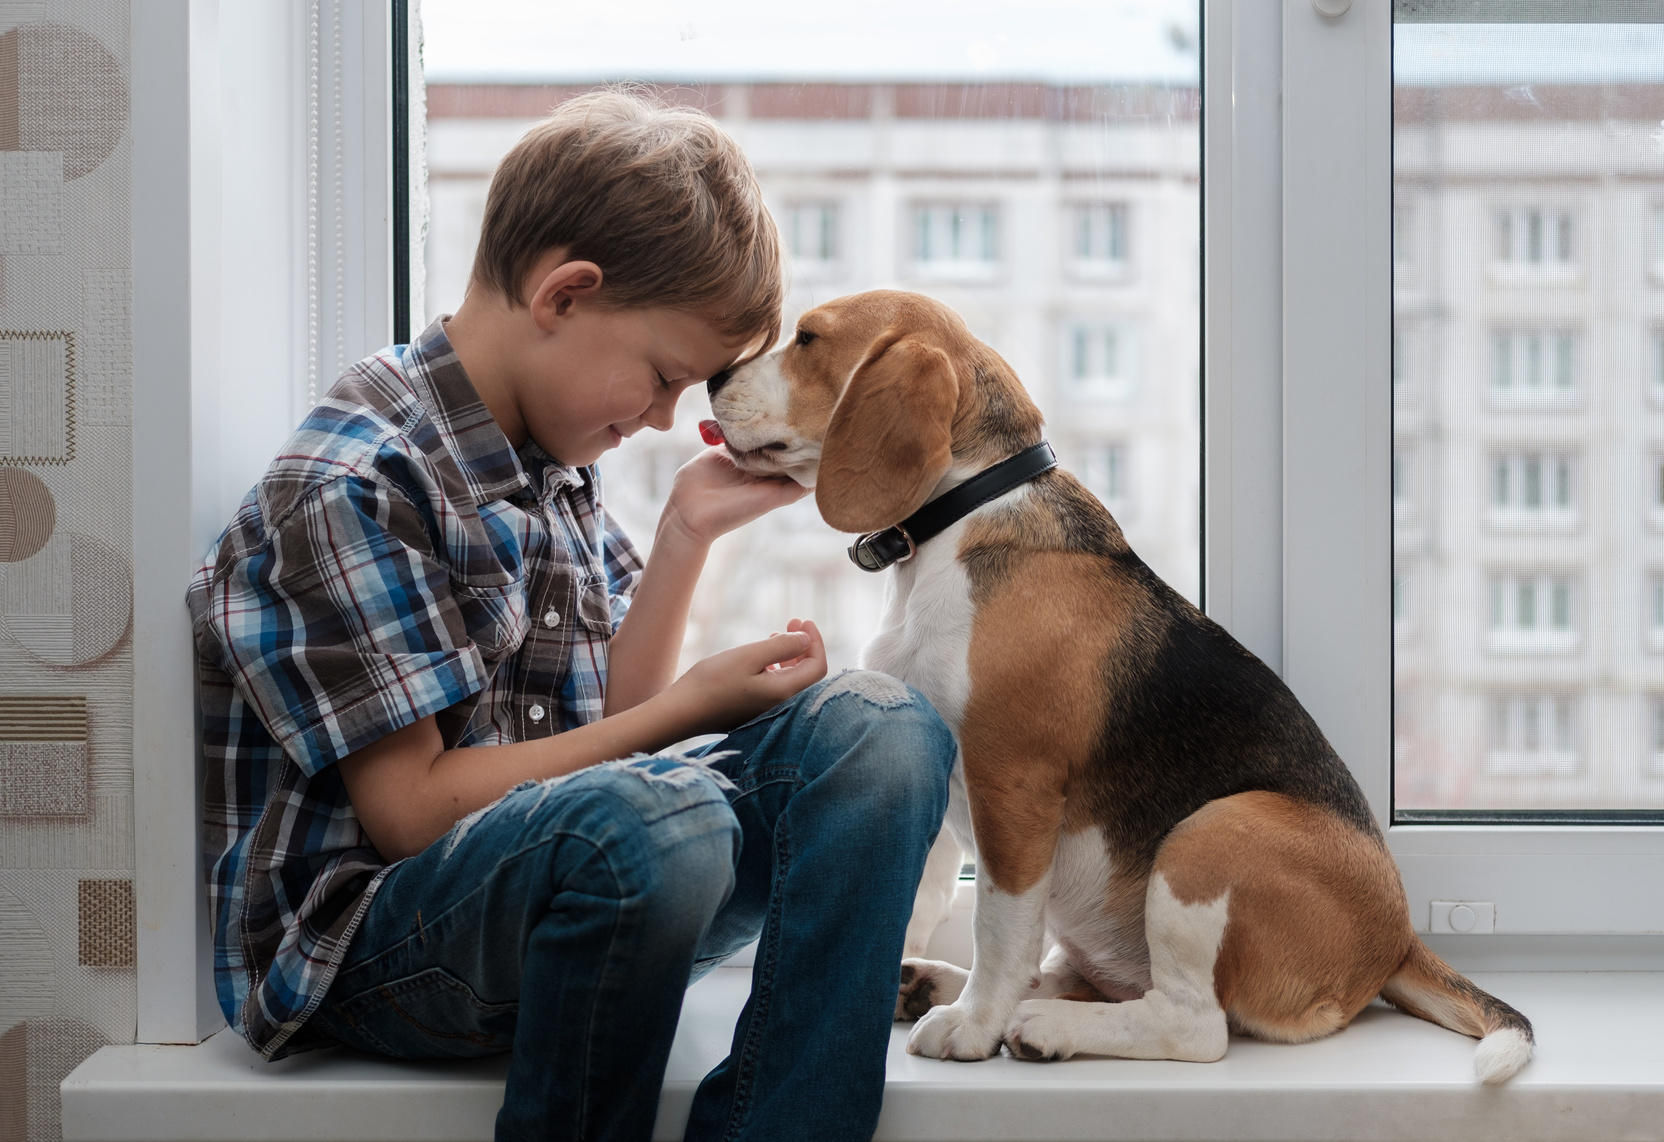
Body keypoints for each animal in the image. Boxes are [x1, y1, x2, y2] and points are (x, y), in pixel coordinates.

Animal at [702, 292, 1530, 1085]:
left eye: (808, 338)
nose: (714, 378)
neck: (962, 518)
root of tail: (1399, 940)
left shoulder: (1012, 782)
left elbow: (1000, 925)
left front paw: (973, 1028)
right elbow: (919, 895)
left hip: (1212, 833)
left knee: (1195, 1027)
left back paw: (1036, 1026)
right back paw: (937, 985)